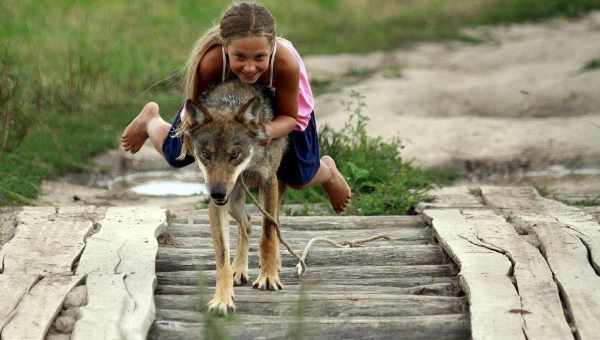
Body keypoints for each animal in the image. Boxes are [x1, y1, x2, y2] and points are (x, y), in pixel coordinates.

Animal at [177, 79, 288, 314]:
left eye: (234, 154)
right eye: (206, 155)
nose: (217, 192)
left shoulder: (268, 180)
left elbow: (268, 234)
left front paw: (268, 277)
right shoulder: (217, 204)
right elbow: (222, 256)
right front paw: (222, 299)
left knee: (273, 224)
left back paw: (274, 264)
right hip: (234, 201)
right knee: (247, 223)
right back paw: (239, 270)